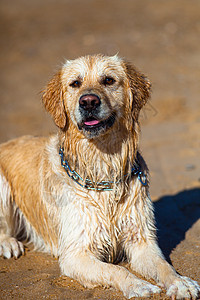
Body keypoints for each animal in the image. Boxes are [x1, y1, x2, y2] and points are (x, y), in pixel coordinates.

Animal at [0, 55, 199, 298]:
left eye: (108, 80)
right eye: (75, 83)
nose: (88, 102)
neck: (102, 170)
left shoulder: (141, 241)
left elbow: (164, 266)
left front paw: (181, 283)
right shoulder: (76, 253)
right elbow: (116, 270)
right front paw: (138, 285)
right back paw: (9, 244)